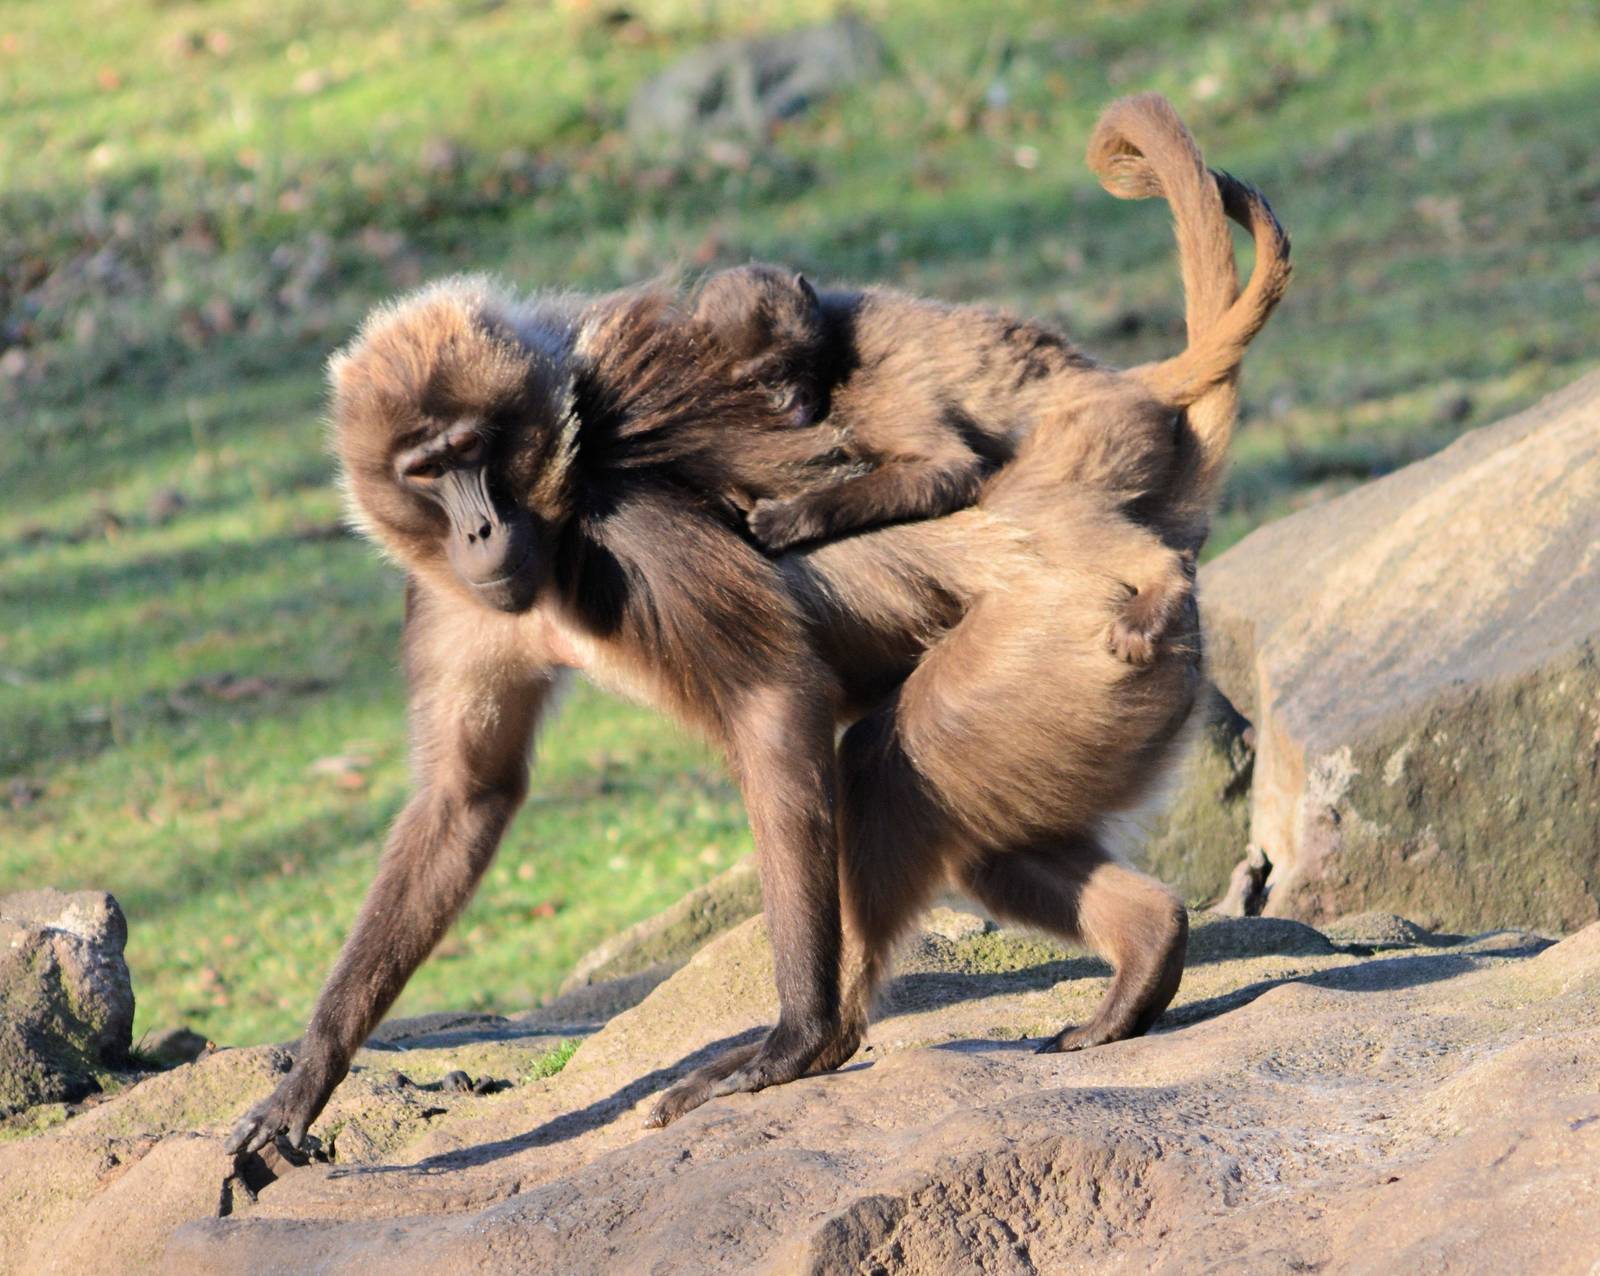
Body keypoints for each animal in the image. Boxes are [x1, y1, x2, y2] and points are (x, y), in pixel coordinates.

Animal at [224, 93, 1288, 1153]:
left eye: (473, 450)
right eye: (426, 469)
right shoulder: (452, 594)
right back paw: (1147, 950)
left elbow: (775, 703)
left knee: (880, 770)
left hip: (1061, 642)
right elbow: (465, 796)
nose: (478, 527)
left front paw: (797, 1040)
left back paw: (834, 1033)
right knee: (980, 835)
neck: (560, 510)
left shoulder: (639, 530)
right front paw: (305, 1081)